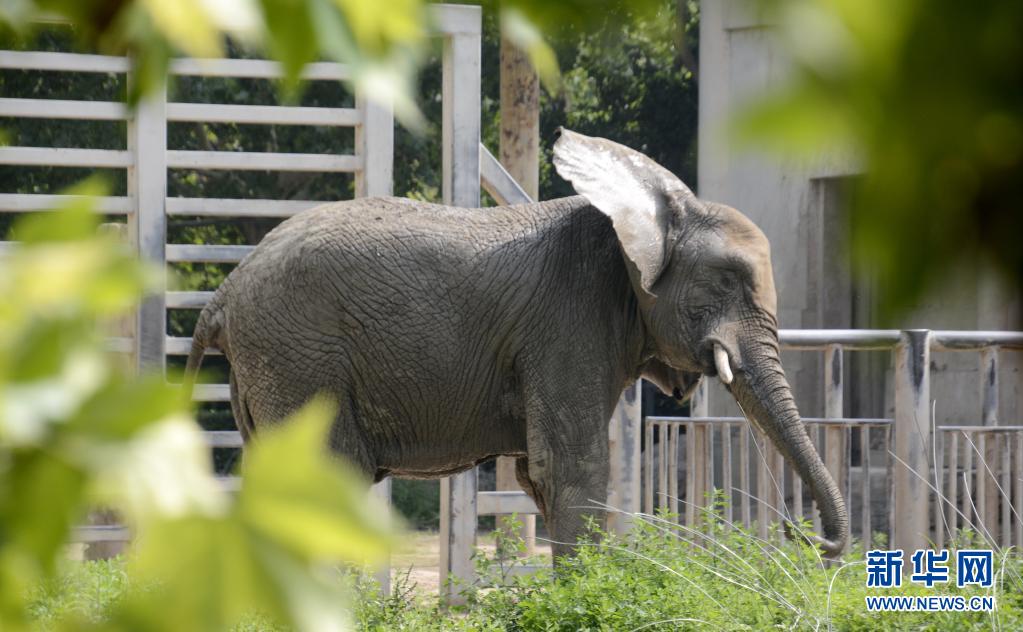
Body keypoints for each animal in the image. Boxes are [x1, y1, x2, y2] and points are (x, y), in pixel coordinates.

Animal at [188, 127, 851, 556]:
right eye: (728, 281)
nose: (812, 540)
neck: (650, 216)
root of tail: (224, 292)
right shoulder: (569, 318)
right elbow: (574, 469)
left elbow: (543, 474)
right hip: (300, 355)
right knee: (324, 479)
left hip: (271, 363)